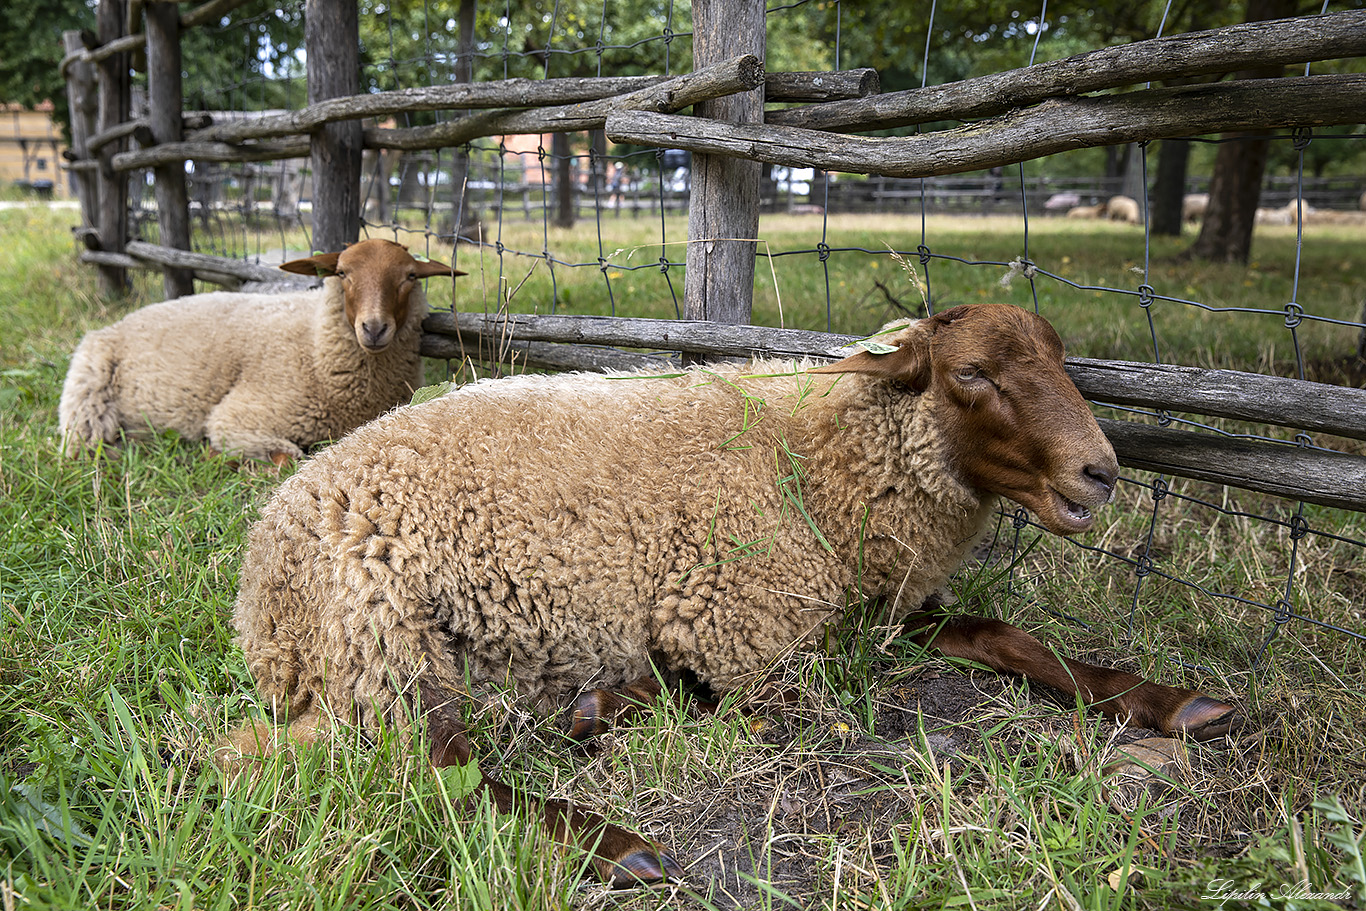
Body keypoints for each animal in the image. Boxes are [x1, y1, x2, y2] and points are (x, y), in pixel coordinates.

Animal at [57, 239, 458, 467]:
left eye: (410, 277)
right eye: (342, 273)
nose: (374, 328)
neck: (314, 346)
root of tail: (120, 322)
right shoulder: (239, 418)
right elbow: (288, 457)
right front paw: (219, 456)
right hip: (87, 389)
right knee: (80, 444)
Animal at [215, 303, 1240, 885]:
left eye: (1062, 362)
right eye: (972, 373)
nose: (1099, 473)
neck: (826, 457)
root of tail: (263, 586)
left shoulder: (883, 608)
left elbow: (1006, 635)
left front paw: (1160, 698)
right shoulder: (740, 627)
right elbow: (792, 707)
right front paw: (625, 704)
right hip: (385, 639)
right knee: (433, 771)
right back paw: (619, 844)